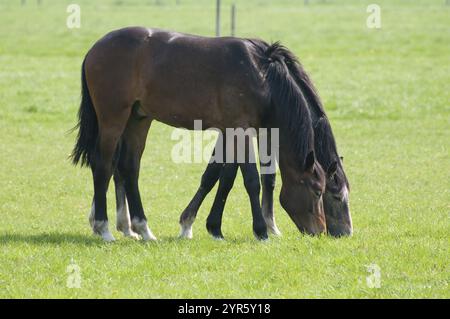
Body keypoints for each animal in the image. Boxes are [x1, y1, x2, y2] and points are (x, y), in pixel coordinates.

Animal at [70, 27, 326, 242]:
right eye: (317, 190)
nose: (321, 231)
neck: (261, 75)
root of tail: (95, 49)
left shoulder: (233, 131)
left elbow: (223, 175)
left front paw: (213, 228)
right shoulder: (241, 129)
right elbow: (251, 180)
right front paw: (261, 231)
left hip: (137, 119)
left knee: (128, 167)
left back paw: (143, 229)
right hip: (113, 119)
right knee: (103, 165)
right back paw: (104, 228)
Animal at [178, 46, 352, 239]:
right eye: (335, 196)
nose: (347, 232)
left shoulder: (258, 132)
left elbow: (255, 176)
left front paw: (270, 225)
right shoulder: (235, 131)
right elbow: (217, 174)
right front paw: (190, 223)